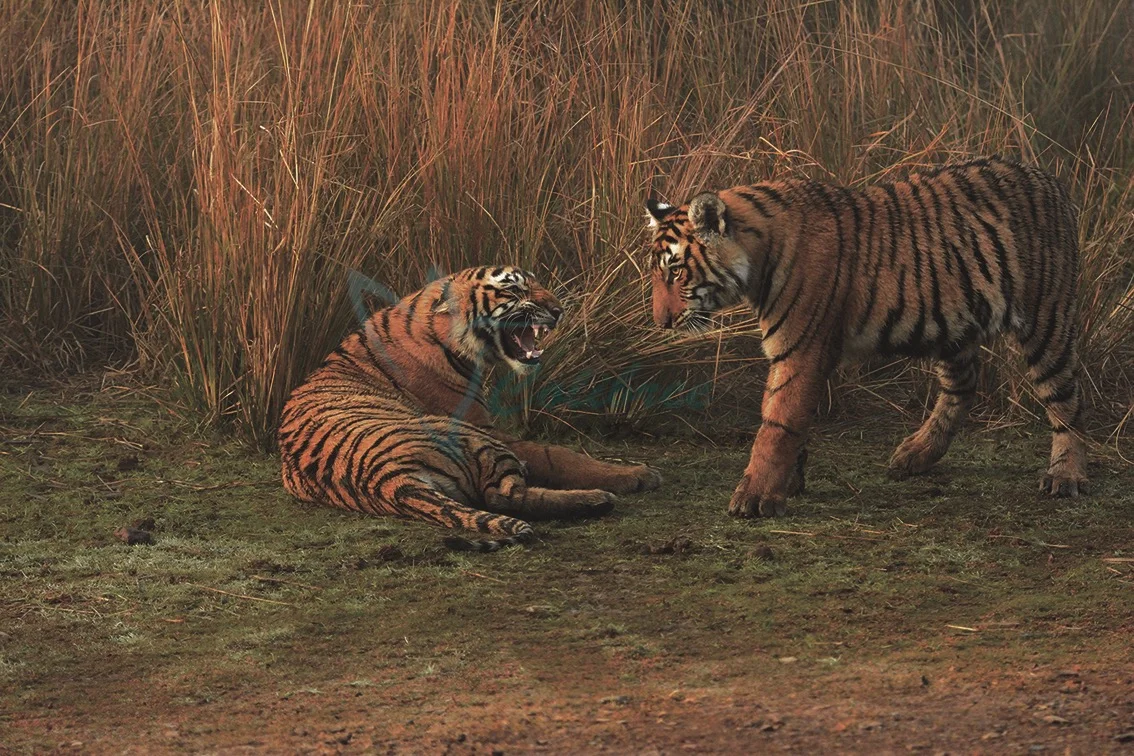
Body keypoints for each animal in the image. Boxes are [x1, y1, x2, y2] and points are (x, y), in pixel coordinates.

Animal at [278, 266, 662, 551]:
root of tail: (390, 481)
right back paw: (597, 499)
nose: (559, 310)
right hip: (471, 436)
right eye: (514, 290)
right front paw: (638, 474)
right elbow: (560, 456)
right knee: (504, 496)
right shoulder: (487, 426)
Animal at [645, 156, 1088, 518]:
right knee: (964, 384)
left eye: (676, 271)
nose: (661, 323)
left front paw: (754, 497)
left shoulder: (798, 348)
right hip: (953, 324)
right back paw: (915, 455)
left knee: (1066, 400)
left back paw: (1066, 476)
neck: (757, 255)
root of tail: (1051, 178)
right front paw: (788, 483)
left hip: (1046, 319)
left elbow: (777, 423)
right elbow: (790, 419)